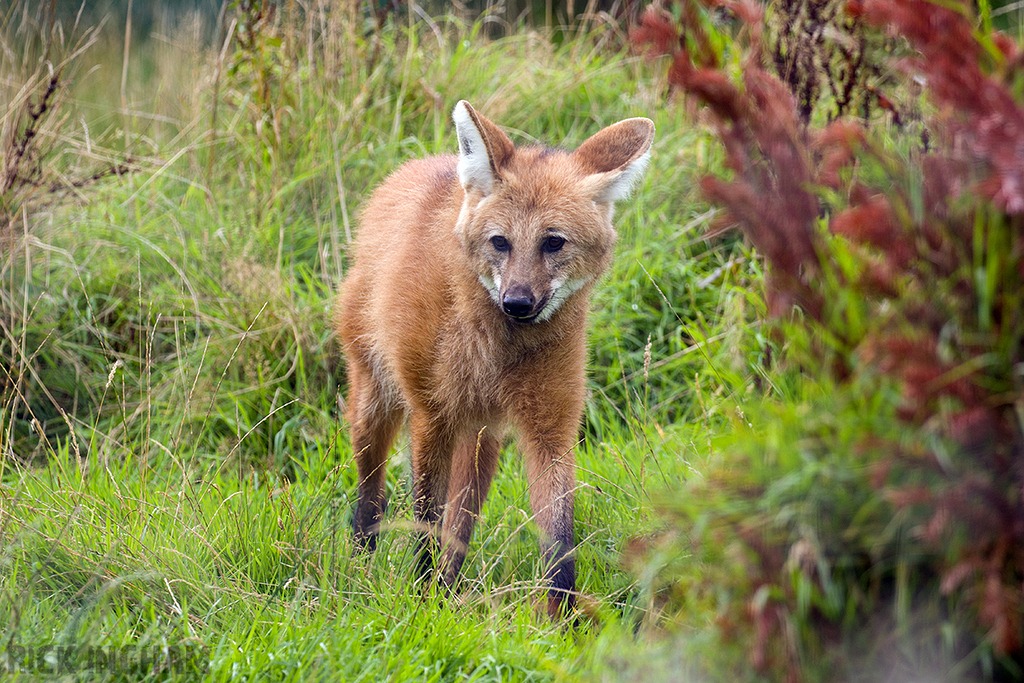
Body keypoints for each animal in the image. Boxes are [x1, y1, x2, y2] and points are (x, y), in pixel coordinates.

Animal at [335, 101, 655, 618]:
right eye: (500, 242)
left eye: (553, 242)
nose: (517, 303)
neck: (499, 350)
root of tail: (418, 166)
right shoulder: (433, 415)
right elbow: (425, 518)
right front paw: (420, 604)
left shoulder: (550, 427)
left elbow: (558, 536)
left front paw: (562, 623)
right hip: (377, 402)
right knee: (372, 494)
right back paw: (364, 563)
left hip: (482, 435)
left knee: (462, 520)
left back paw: (449, 589)